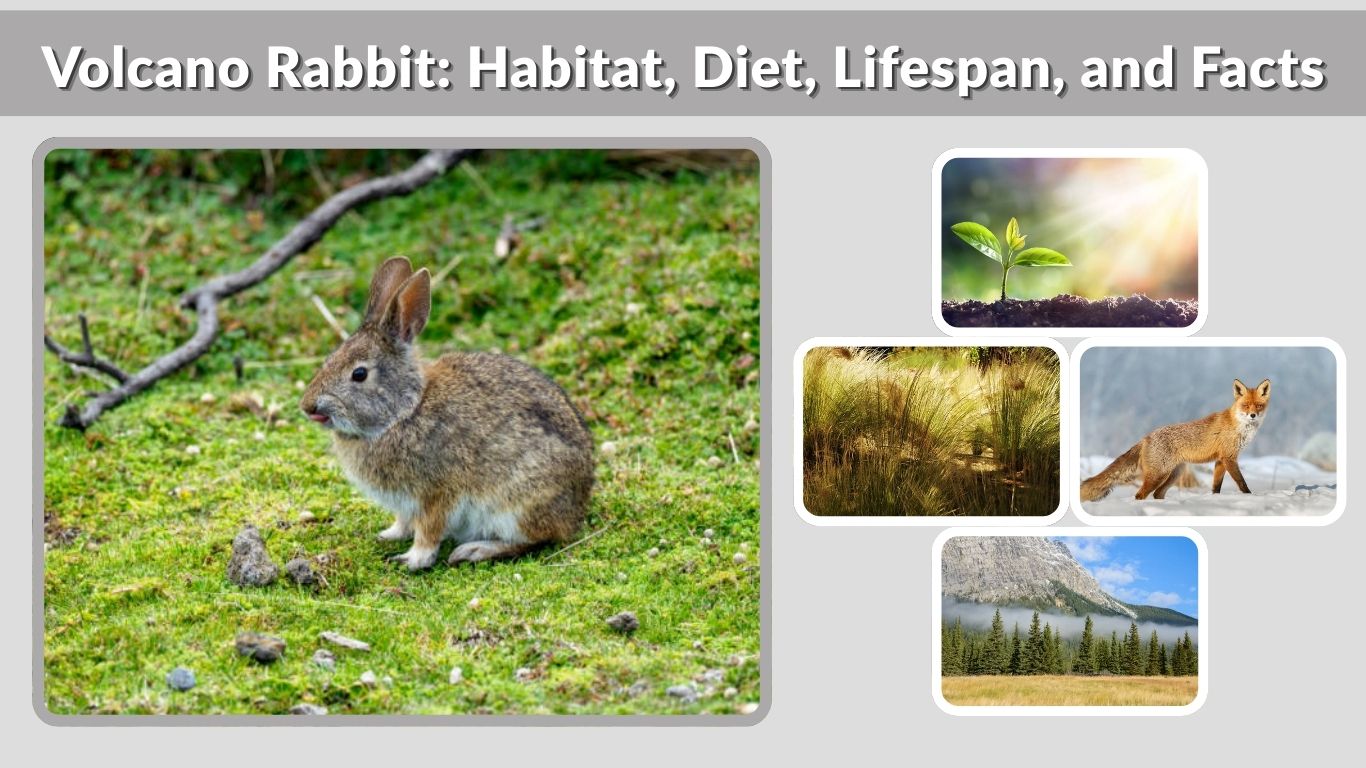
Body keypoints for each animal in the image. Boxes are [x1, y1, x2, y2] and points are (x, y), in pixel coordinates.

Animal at [300, 256, 594, 570]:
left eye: (359, 374)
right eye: (329, 359)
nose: (308, 406)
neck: (405, 411)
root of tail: (577, 508)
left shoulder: (438, 493)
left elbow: (429, 530)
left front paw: (413, 559)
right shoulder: (406, 504)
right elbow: (404, 521)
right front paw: (389, 535)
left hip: (517, 502)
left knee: (535, 539)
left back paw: (475, 550)